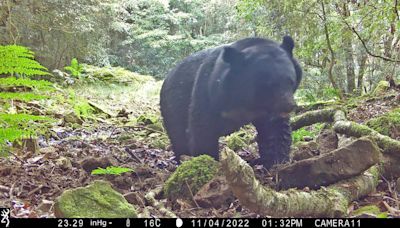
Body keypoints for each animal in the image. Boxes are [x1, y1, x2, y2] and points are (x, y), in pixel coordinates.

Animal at [159, 35, 304, 167]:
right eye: (268, 86)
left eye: (291, 81)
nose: (288, 106)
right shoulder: (208, 92)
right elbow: (203, 130)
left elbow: (276, 129)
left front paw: (277, 162)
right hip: (173, 107)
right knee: (179, 136)